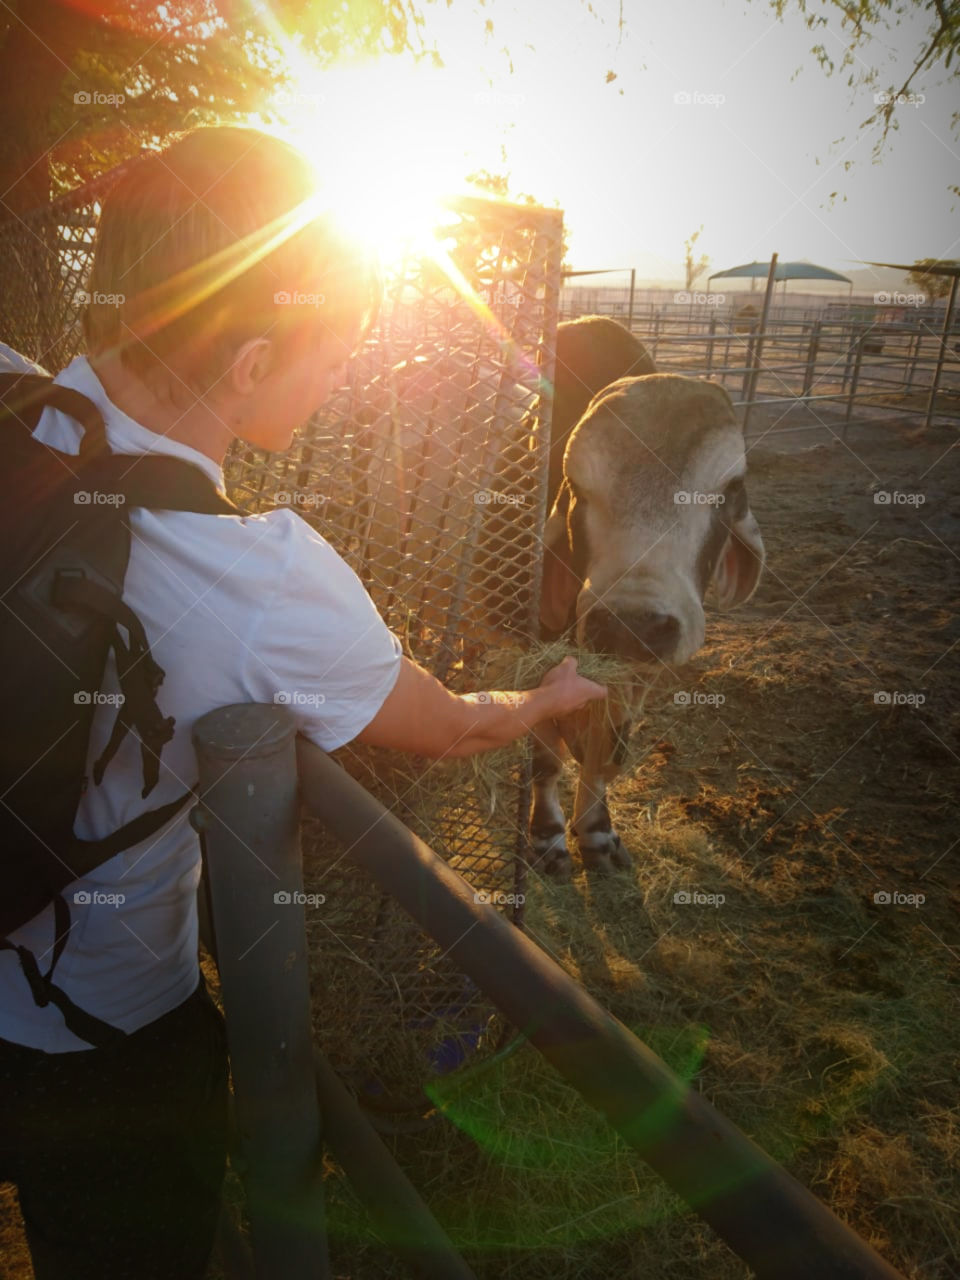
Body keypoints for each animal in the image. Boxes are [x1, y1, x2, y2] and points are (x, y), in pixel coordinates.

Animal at [530, 316, 765, 878]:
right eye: (575, 487)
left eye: (729, 490)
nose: (631, 624)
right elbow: (544, 755)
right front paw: (548, 837)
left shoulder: (634, 673)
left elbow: (608, 751)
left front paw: (595, 831)